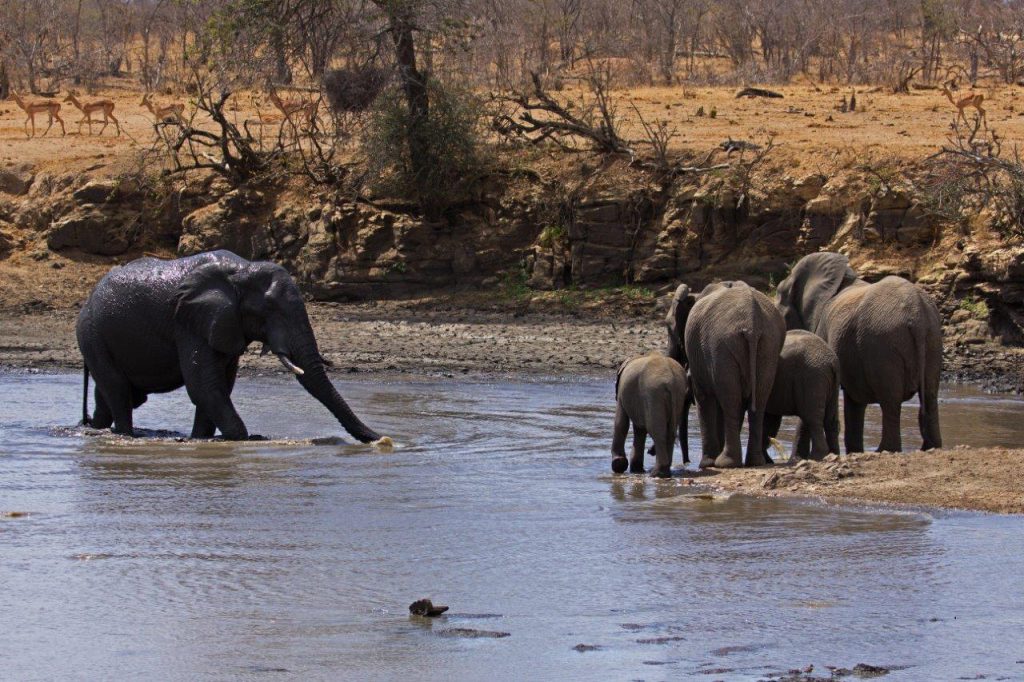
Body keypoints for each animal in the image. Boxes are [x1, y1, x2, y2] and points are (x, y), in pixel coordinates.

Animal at [74, 249, 380, 440]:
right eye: (271, 310)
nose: (384, 440)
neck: (244, 269)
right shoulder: (188, 322)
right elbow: (205, 386)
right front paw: (242, 439)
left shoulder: (224, 325)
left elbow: (219, 385)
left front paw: (200, 438)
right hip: (91, 334)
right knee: (118, 391)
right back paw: (124, 434)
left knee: (112, 395)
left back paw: (99, 430)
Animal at [671, 280, 782, 466]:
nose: (686, 462)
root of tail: (752, 325)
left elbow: (704, 397)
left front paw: (707, 463)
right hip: (768, 347)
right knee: (758, 401)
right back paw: (754, 462)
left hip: (721, 347)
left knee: (731, 402)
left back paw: (725, 462)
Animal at [778, 249, 937, 450]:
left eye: (781, 294)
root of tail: (917, 314)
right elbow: (854, 400)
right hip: (932, 340)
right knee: (930, 396)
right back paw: (930, 446)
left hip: (883, 343)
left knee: (890, 401)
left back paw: (884, 450)